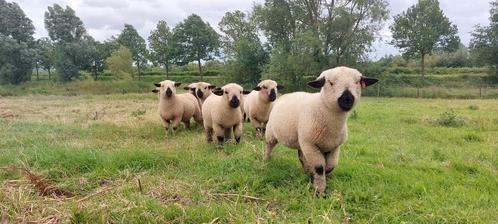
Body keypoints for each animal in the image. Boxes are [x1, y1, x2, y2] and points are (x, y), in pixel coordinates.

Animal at [264, 66, 378, 196]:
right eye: (330, 82)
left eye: (357, 82)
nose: (347, 98)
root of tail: (286, 94)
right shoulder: (311, 145)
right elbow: (319, 168)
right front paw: (320, 191)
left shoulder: (334, 146)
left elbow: (330, 166)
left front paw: (316, 178)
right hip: (272, 133)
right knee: (268, 147)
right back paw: (265, 162)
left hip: (301, 140)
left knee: (301, 156)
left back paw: (306, 171)